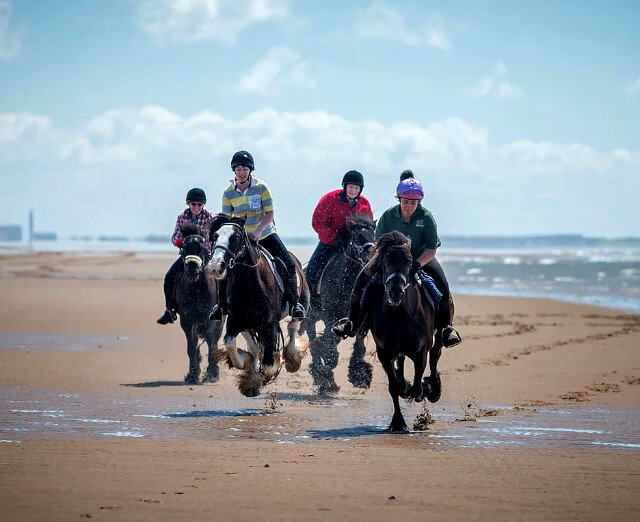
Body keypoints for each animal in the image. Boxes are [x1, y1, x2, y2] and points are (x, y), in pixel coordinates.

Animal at [174, 221, 224, 384]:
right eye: (184, 249)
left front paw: (212, 373)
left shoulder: (212, 319)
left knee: (213, 340)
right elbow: (191, 347)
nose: (192, 271)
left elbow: (211, 342)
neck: (196, 289)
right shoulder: (187, 320)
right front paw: (192, 375)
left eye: (202, 249)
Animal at [202, 213, 308, 396]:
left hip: (302, 304)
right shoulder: (235, 322)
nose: (214, 266)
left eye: (236, 237)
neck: (250, 285)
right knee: (255, 345)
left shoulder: (270, 325)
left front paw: (271, 369)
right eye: (214, 237)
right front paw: (248, 368)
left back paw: (292, 359)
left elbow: (269, 363)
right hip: (248, 325)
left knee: (293, 327)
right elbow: (232, 345)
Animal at [304, 213, 376, 392]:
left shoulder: (359, 320)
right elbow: (328, 347)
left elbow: (359, 346)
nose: (370, 258)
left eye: (373, 235)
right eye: (357, 236)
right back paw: (322, 378)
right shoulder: (331, 316)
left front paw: (360, 375)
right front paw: (324, 375)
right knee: (314, 342)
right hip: (311, 318)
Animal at [362, 231, 442, 430]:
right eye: (385, 260)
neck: (399, 315)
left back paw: (434, 388)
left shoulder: (421, 352)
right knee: (401, 362)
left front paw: (424, 388)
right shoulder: (384, 352)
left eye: (409, 261)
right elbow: (394, 387)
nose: (395, 292)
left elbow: (417, 385)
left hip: (437, 338)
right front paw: (398, 422)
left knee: (435, 356)